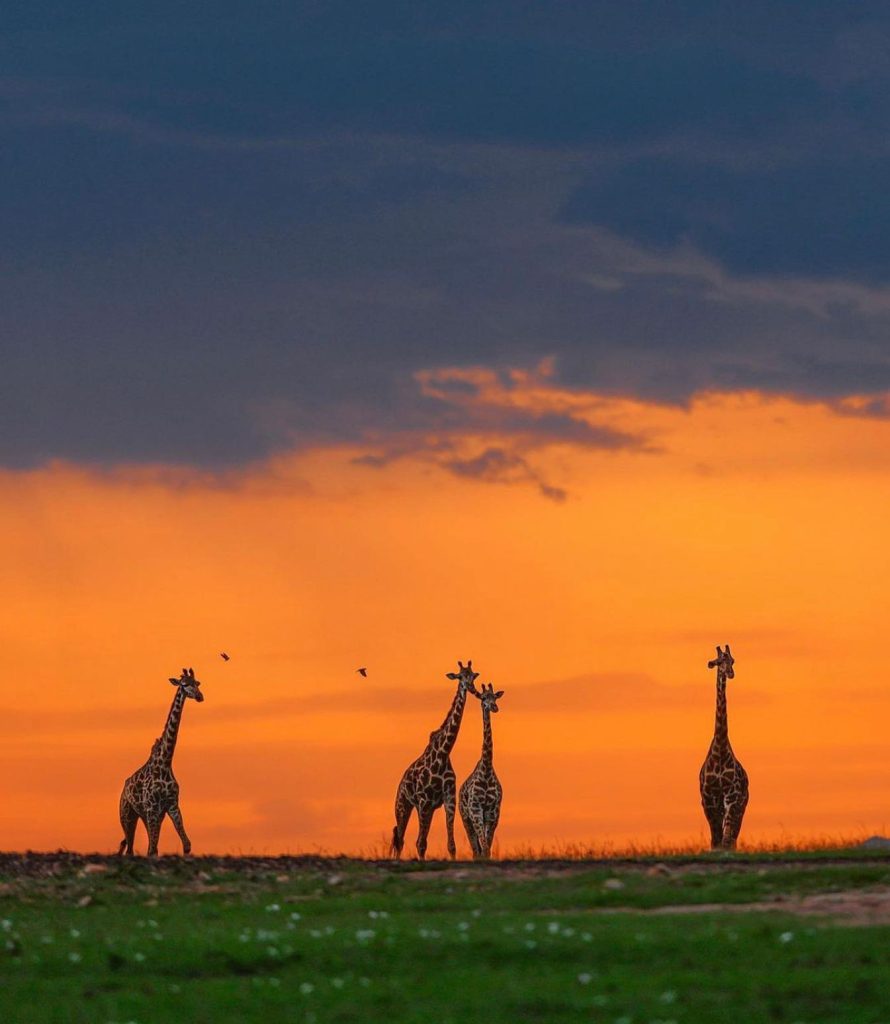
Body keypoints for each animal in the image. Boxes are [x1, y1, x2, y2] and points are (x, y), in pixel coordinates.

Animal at [115, 663, 202, 856]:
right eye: (184, 684)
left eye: (197, 683)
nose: (200, 696)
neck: (165, 762)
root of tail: (123, 788)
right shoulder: (152, 807)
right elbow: (153, 849)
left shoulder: (171, 805)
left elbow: (186, 844)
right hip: (128, 814)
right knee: (130, 848)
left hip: (148, 815)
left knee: (145, 845)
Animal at [389, 659, 479, 860]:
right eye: (460, 676)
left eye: (473, 676)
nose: (471, 688)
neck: (443, 753)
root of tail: (400, 782)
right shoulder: (423, 801)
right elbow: (421, 844)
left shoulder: (449, 799)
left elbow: (451, 845)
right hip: (403, 805)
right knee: (401, 840)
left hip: (426, 809)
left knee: (407, 839)